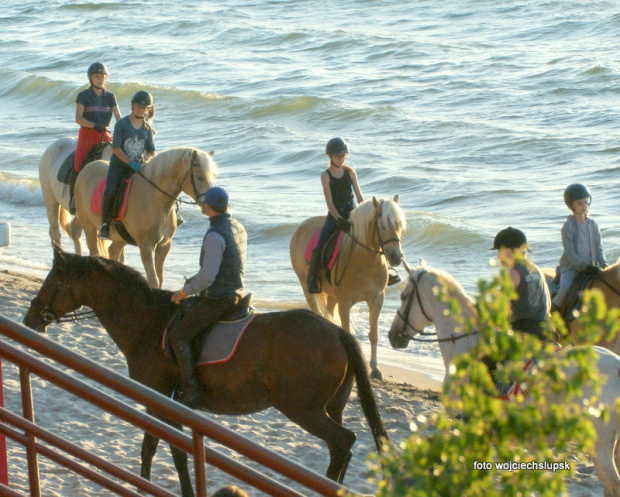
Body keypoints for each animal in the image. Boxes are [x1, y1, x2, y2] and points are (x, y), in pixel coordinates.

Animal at [25, 246, 392, 494]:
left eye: (53, 282)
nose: (30, 319)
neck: (148, 321)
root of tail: (336, 331)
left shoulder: (161, 398)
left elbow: (170, 450)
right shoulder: (160, 399)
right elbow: (155, 447)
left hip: (304, 409)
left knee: (343, 442)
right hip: (330, 407)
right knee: (340, 448)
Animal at [74, 146, 218, 286]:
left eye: (213, 176)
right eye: (200, 177)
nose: (209, 204)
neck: (154, 198)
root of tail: (86, 169)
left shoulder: (164, 246)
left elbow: (160, 279)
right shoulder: (146, 246)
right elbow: (153, 280)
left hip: (120, 238)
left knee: (113, 252)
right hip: (89, 228)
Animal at [290, 196, 406, 378]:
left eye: (399, 225)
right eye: (382, 226)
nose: (396, 257)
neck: (364, 259)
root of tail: (300, 228)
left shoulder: (377, 299)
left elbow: (374, 334)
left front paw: (375, 369)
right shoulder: (345, 303)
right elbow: (348, 332)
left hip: (332, 296)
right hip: (307, 288)